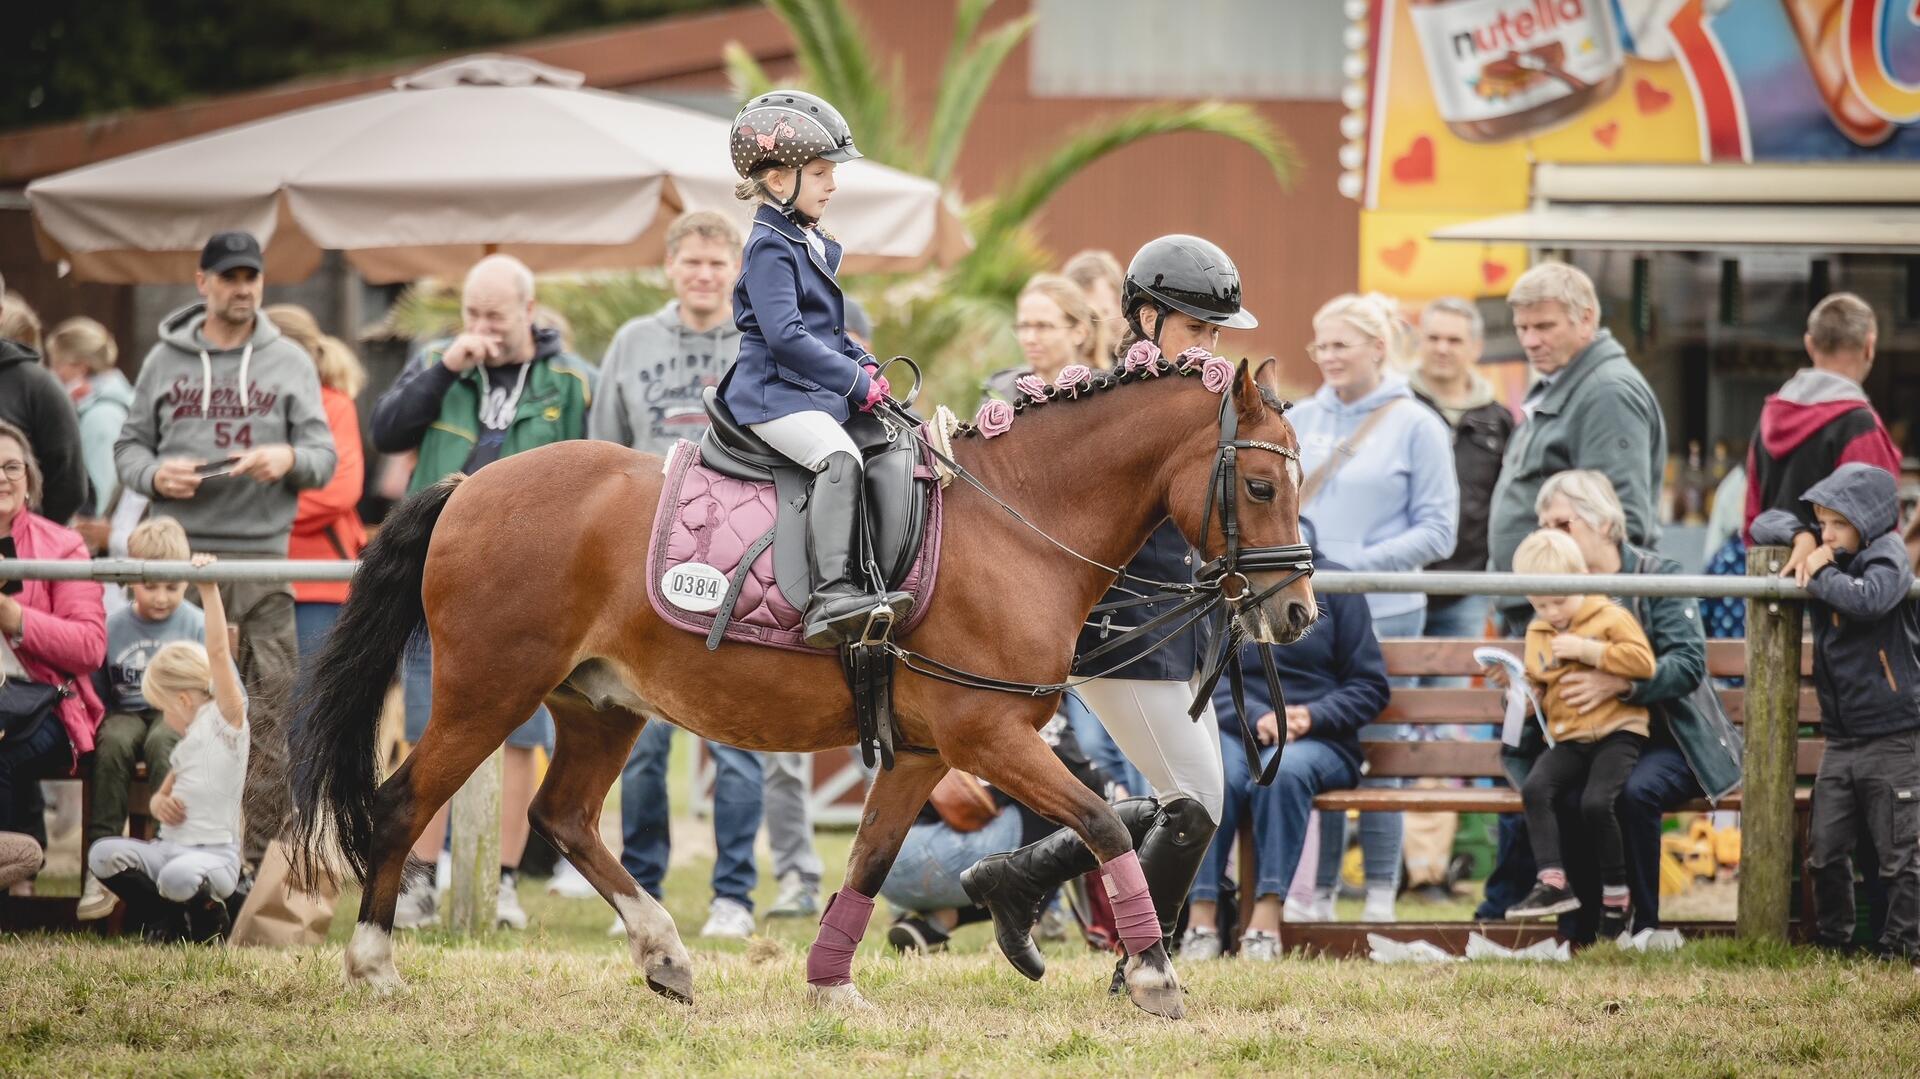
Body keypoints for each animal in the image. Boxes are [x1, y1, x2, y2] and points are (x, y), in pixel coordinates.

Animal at [291, 357, 1313, 1013]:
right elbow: (1104, 824)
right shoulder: (988, 737)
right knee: (400, 804)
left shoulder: (925, 752)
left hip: (600, 706)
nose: (1298, 611)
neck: (1016, 522)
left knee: (563, 816)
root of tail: (469, 485)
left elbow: (867, 860)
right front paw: (1153, 975)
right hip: (485, 695)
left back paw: (665, 953)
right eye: (1263, 487)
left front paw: (831, 983)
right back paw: (374, 964)